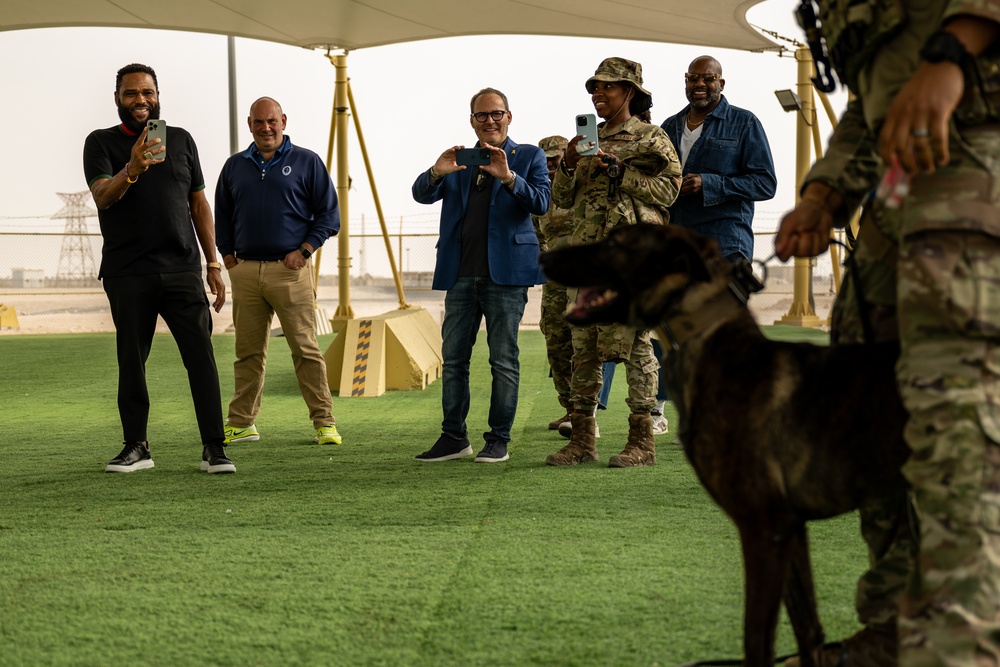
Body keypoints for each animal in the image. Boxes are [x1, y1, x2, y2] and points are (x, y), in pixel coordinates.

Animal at [544, 226, 912, 667]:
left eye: (617, 241)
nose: (543, 258)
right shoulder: (791, 528)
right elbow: (809, 630)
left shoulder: (763, 526)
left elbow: (756, 640)